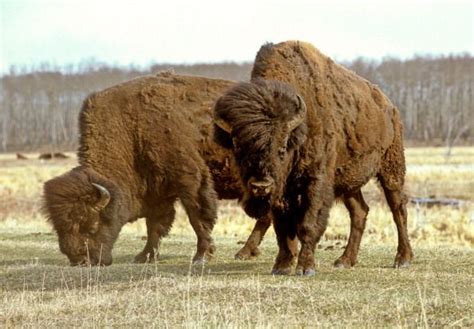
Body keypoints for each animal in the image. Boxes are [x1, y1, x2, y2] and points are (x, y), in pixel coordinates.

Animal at [42, 73, 272, 266]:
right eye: (59, 227)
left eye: (91, 225)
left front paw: (201, 256)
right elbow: (155, 225)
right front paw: (144, 256)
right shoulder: (157, 192)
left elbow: (197, 218)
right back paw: (246, 252)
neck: (133, 128)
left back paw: (243, 252)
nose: (80, 260)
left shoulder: (190, 180)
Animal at [213, 41, 412, 276]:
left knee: (398, 209)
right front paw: (282, 266)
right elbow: (284, 227)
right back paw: (345, 260)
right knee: (360, 212)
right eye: (238, 149)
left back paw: (403, 258)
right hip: (348, 182)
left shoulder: (316, 179)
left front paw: (306, 267)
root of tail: (391, 108)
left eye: (282, 149)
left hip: (391, 170)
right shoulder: (284, 190)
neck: (298, 130)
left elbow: (308, 223)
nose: (261, 186)